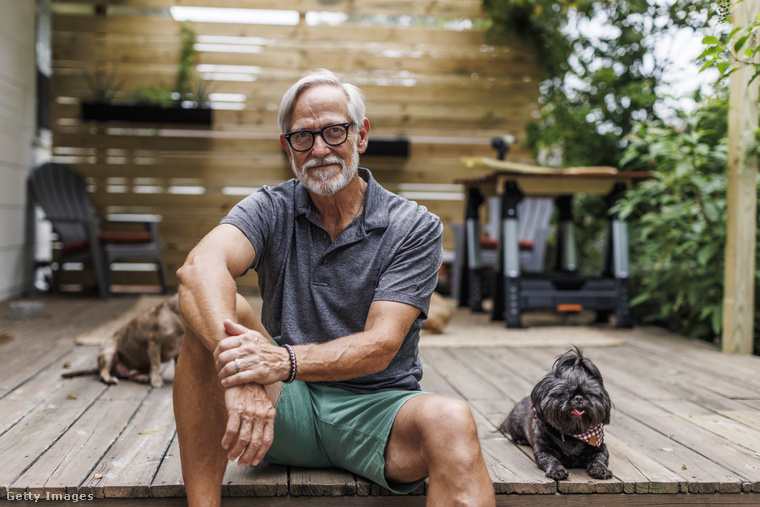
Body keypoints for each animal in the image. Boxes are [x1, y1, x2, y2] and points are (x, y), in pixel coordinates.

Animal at [498, 348, 612, 482]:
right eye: (565, 392)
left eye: (589, 393)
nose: (579, 398)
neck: (573, 433)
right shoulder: (544, 450)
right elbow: (552, 460)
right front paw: (556, 470)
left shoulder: (600, 448)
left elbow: (599, 459)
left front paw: (601, 470)